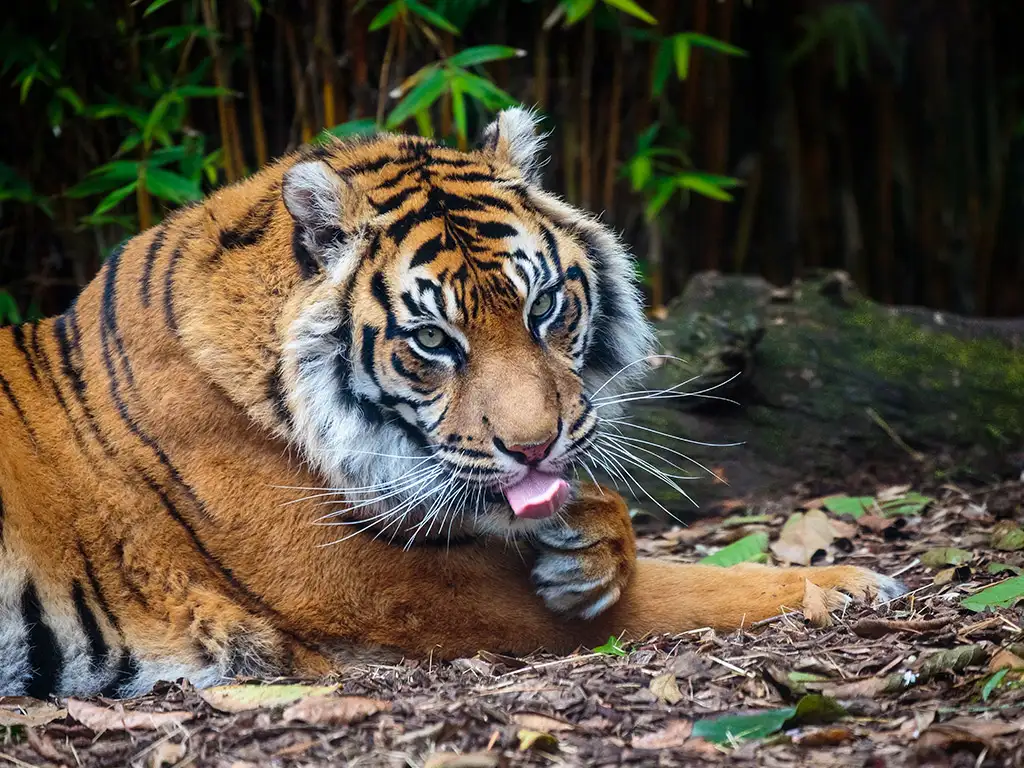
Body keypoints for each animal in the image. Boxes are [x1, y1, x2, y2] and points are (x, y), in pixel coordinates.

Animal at [0, 108, 905, 704]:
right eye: (434, 340)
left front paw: (590, 545)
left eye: (545, 307)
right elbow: (681, 590)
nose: (536, 449)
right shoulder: (372, 582)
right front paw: (851, 584)